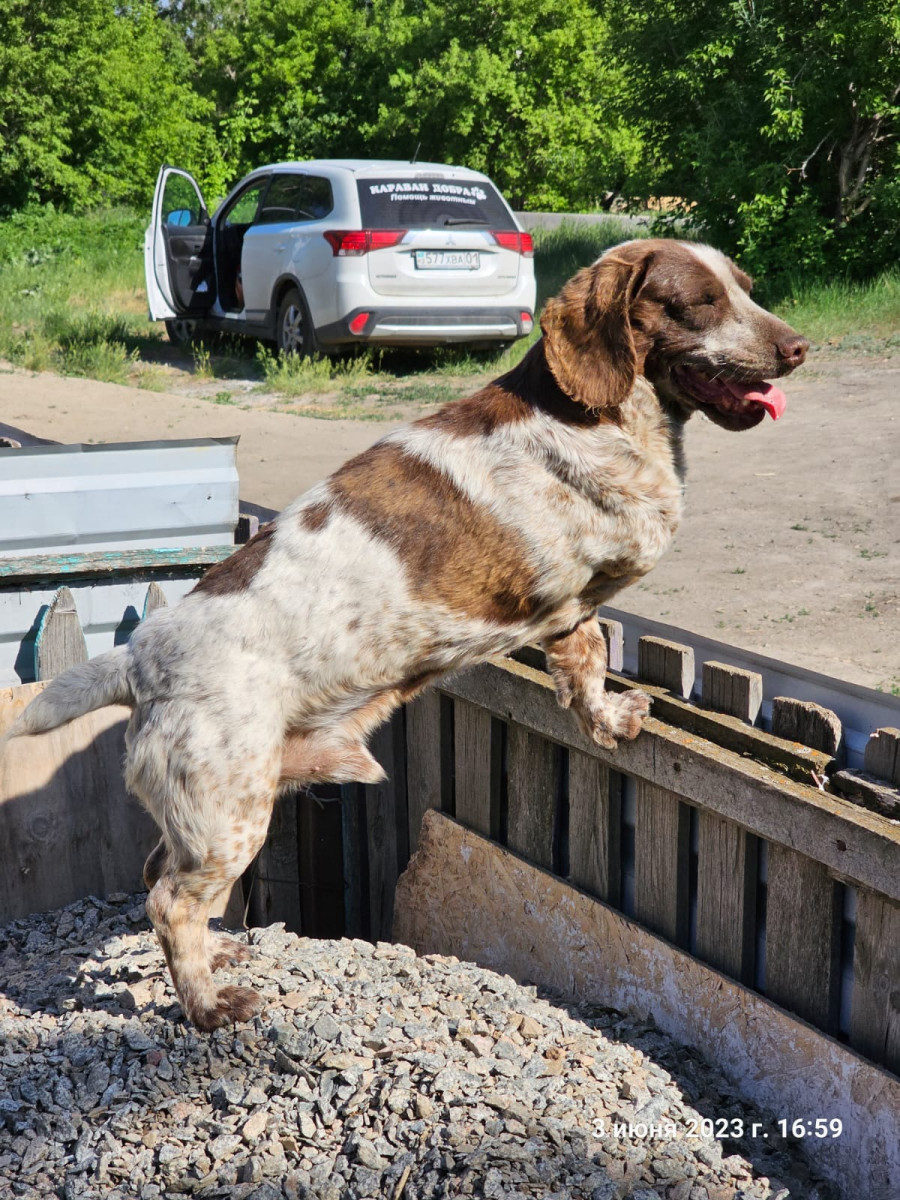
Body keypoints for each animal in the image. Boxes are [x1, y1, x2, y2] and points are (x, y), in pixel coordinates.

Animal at [5, 238, 811, 1027]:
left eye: (745, 288)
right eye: (698, 303)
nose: (799, 347)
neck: (593, 414)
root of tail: (138, 661)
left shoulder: (577, 611)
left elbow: (587, 662)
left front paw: (610, 719)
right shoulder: (600, 549)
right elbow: (618, 574)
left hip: (207, 815)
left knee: (158, 881)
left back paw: (217, 956)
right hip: (227, 816)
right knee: (169, 902)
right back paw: (208, 1005)